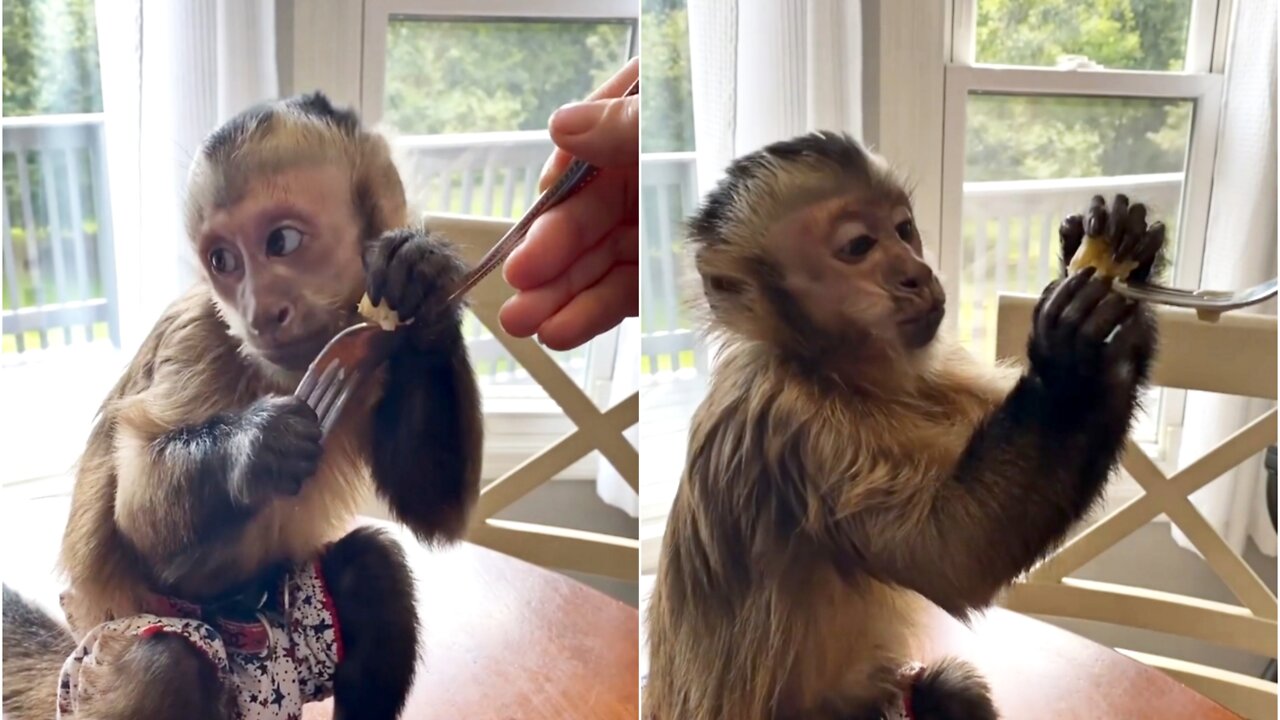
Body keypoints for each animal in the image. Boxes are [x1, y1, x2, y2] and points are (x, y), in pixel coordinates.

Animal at [3, 92, 483, 712]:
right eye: (223, 261)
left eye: (281, 243)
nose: (259, 311)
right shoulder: (196, 335)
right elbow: (135, 506)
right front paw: (257, 446)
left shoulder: (371, 347)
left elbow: (431, 504)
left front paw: (424, 285)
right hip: (92, 668)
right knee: (166, 662)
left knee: (370, 572)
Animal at [645, 133, 1167, 717]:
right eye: (858, 247)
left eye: (902, 230)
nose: (915, 271)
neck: (828, 369)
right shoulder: (791, 422)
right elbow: (953, 551)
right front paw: (1073, 360)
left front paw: (1123, 264)